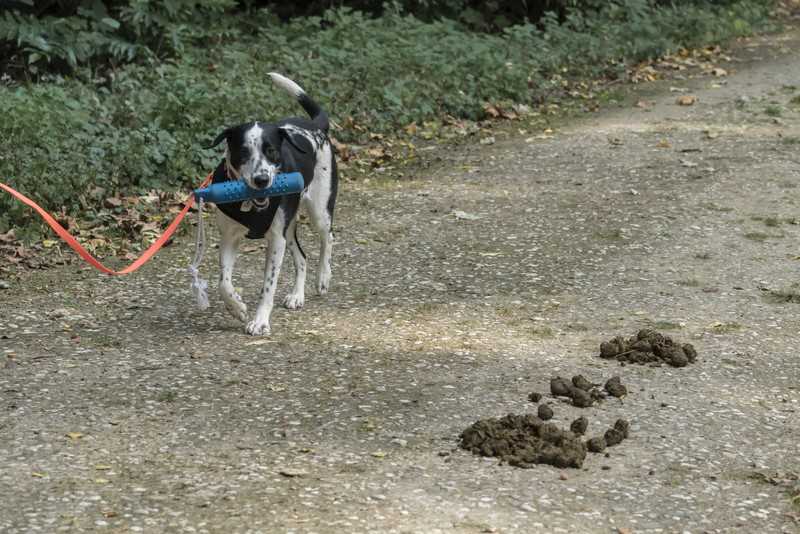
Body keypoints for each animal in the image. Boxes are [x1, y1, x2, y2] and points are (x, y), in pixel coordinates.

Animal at [206, 73, 338, 338]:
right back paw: (297, 295)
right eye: (243, 152)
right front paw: (236, 306)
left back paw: (323, 277)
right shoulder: (229, 237)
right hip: (289, 226)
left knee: (327, 238)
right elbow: (223, 282)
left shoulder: (276, 240)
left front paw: (260, 321)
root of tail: (316, 127)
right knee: (302, 257)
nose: (262, 180)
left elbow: (268, 286)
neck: (250, 203)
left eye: (272, 151)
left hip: (319, 211)